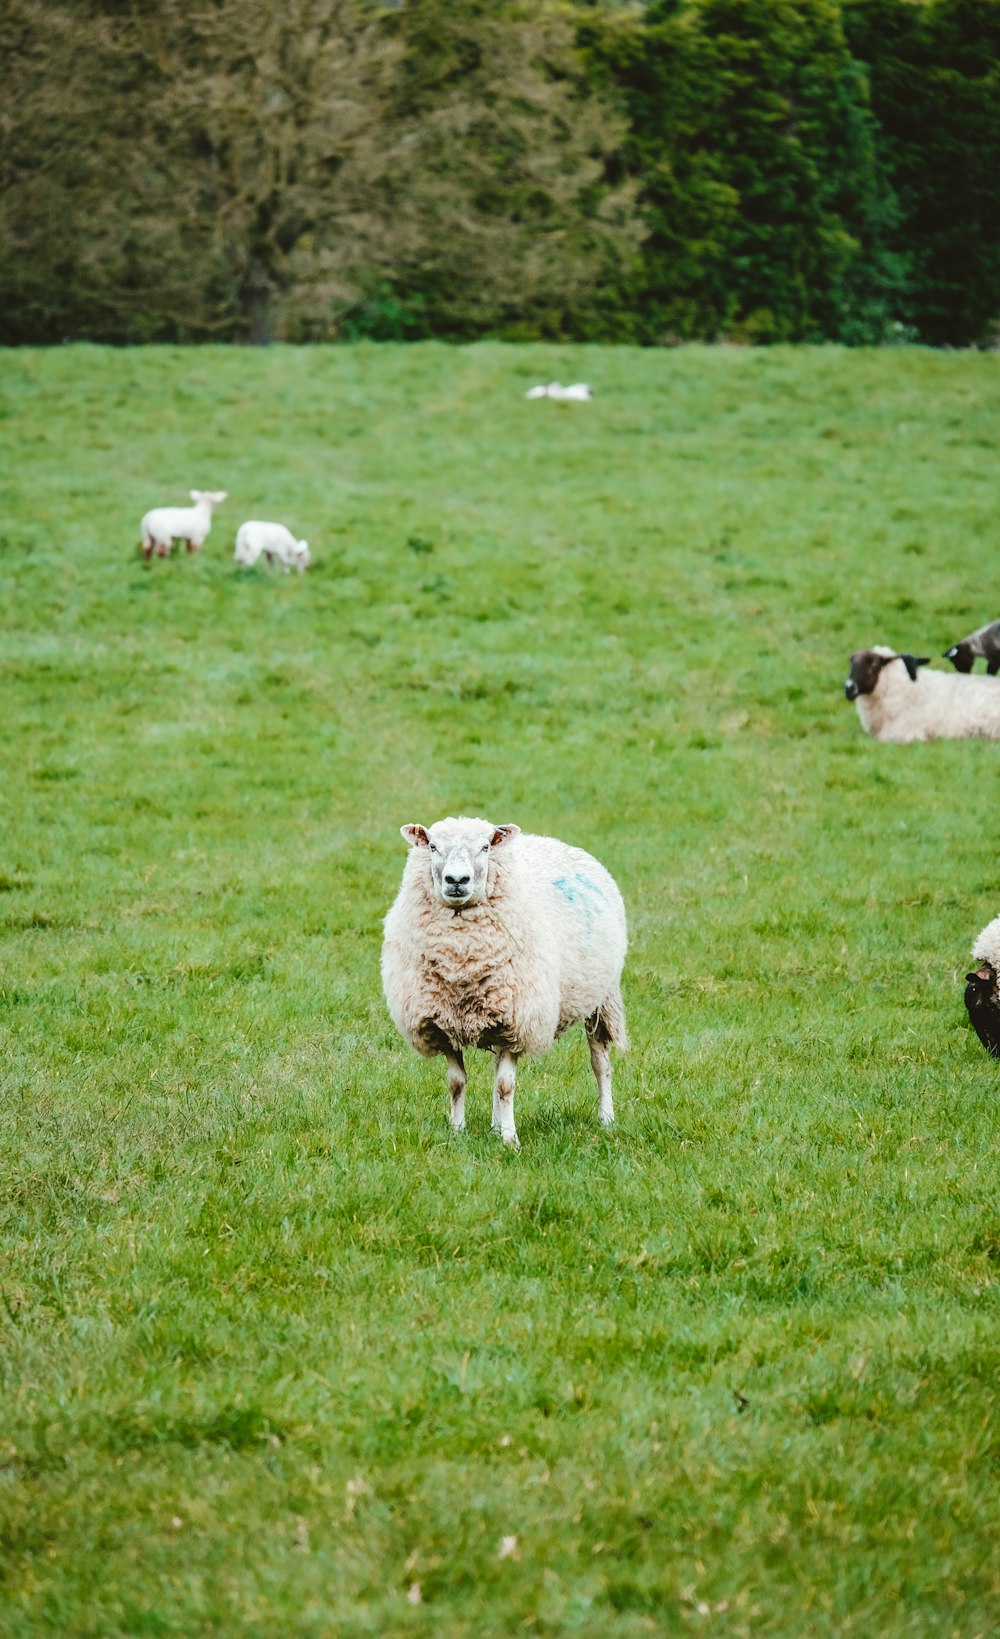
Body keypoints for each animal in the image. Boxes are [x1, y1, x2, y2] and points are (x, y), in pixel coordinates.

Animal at [377, 812, 626, 1147]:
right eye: (432, 846)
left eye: (485, 847)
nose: (457, 881)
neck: (461, 961)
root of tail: (552, 841)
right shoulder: (442, 1023)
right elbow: (456, 1082)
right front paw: (459, 1130)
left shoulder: (516, 1022)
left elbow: (505, 1085)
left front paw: (510, 1139)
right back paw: (496, 1124)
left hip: (601, 997)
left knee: (600, 1062)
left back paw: (606, 1118)